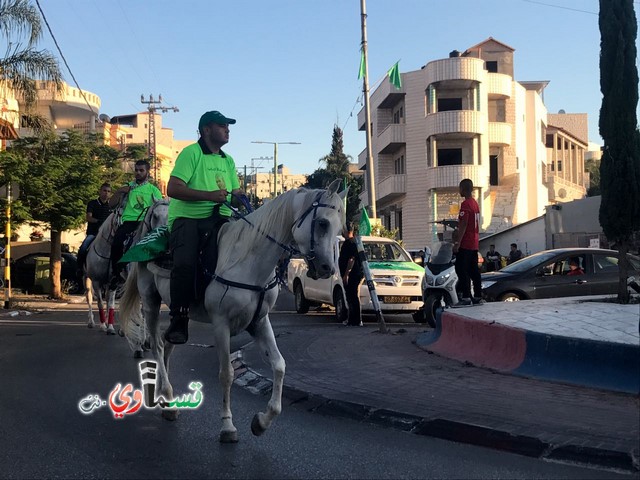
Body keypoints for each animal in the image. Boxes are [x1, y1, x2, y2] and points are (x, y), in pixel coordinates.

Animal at [119, 182, 344, 444]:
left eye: (340, 226)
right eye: (323, 223)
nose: (328, 268)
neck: (248, 260)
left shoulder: (259, 322)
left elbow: (279, 365)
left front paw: (261, 422)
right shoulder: (221, 325)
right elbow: (226, 374)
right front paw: (227, 426)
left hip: (180, 313)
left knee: (168, 341)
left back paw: (166, 399)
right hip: (151, 301)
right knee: (156, 344)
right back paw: (167, 398)